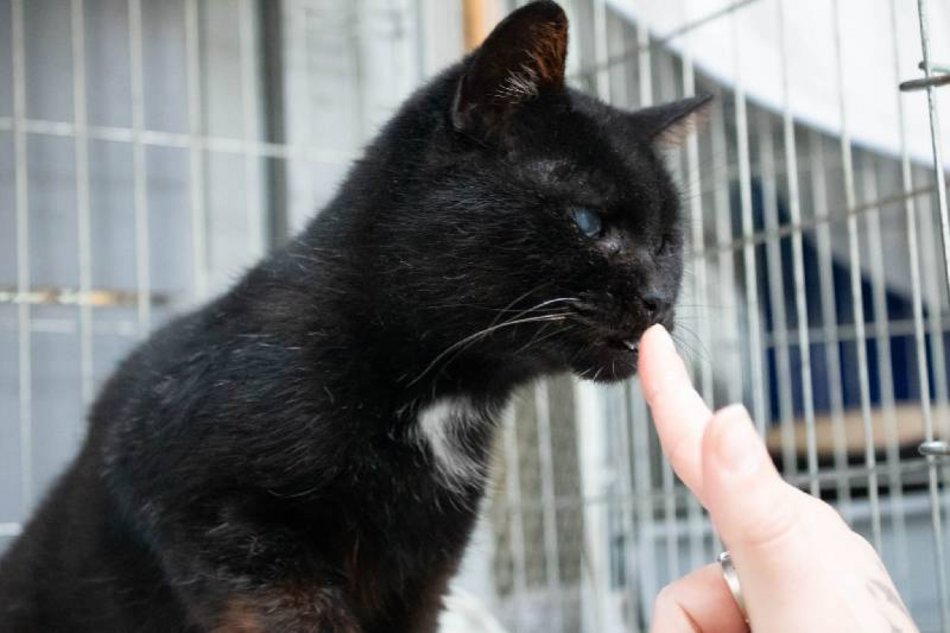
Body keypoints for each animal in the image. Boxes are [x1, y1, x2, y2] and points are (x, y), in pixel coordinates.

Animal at [0, 2, 712, 628]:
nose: (659, 298)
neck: (443, 393)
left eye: (668, 242)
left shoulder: (425, 573)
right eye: (589, 222)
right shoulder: (210, 514)